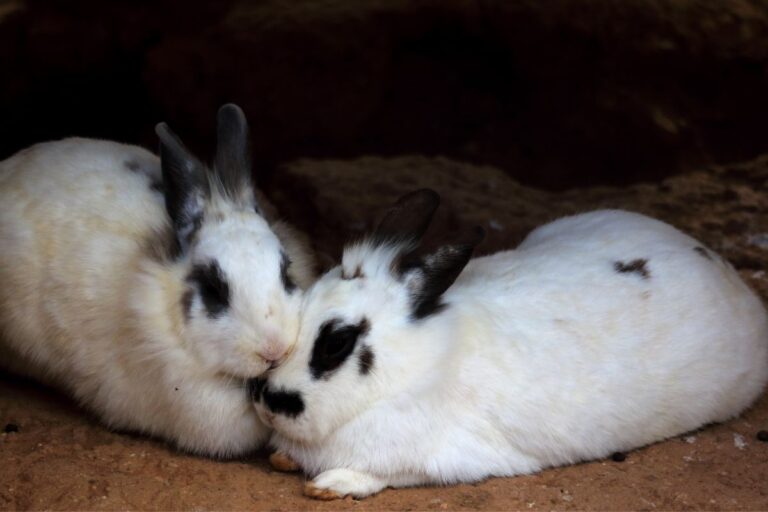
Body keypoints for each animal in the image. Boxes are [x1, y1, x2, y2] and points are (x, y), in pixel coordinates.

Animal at [252, 189, 768, 499]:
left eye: (337, 343)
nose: (266, 401)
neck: (415, 367)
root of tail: (724, 271)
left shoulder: (441, 457)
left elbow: (380, 474)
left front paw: (330, 484)